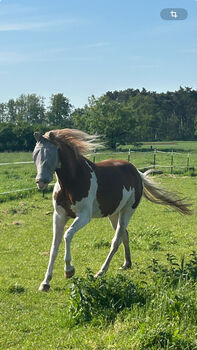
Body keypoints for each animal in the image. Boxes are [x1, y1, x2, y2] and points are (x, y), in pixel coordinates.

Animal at [33, 130, 192, 292]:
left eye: (51, 153)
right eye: (35, 154)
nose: (41, 182)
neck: (73, 180)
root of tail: (136, 172)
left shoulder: (83, 217)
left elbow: (67, 235)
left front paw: (69, 270)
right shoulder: (59, 216)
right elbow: (54, 246)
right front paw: (45, 282)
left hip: (127, 211)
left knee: (116, 240)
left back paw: (101, 272)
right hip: (114, 214)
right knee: (124, 235)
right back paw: (127, 264)